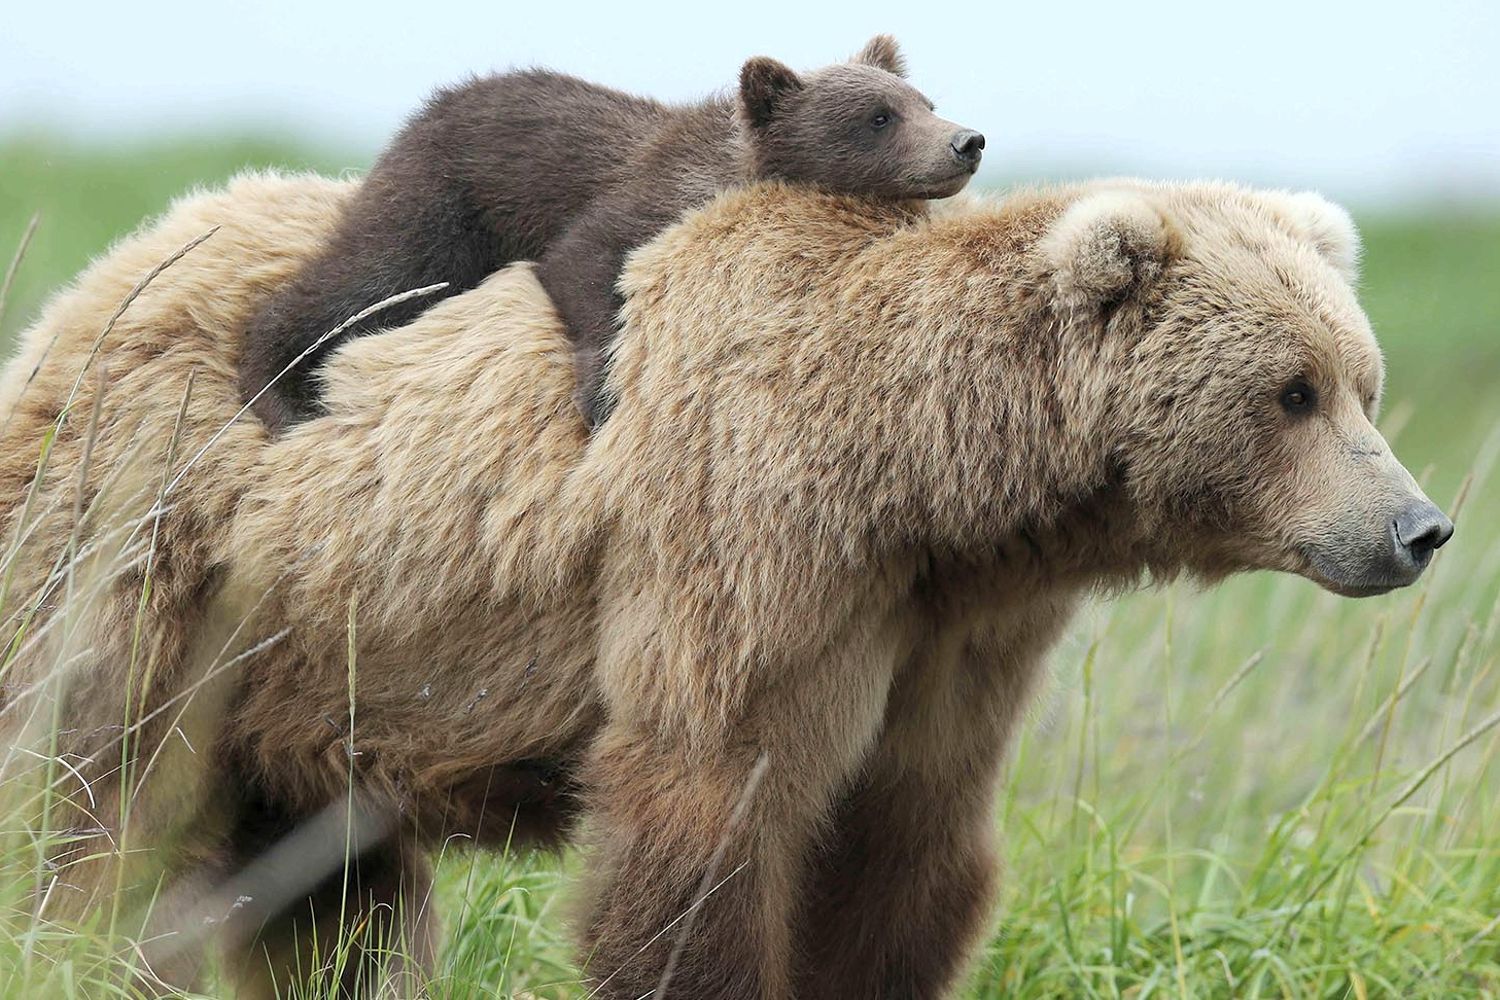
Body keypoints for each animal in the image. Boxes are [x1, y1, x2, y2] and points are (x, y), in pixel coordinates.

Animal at [0, 172, 1452, 999]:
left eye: (1364, 381)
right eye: (1293, 391)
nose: (1419, 525)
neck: (925, 481)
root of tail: (93, 285)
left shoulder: (951, 633)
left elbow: (905, 851)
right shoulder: (752, 552)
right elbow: (704, 826)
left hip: (310, 678)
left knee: (330, 899)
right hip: (156, 555)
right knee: (90, 808)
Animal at [235, 34, 985, 433]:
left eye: (926, 101)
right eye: (879, 116)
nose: (966, 141)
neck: (730, 169)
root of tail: (427, 109)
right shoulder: (638, 198)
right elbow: (585, 264)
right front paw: (602, 393)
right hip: (444, 201)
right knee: (367, 280)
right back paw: (276, 392)